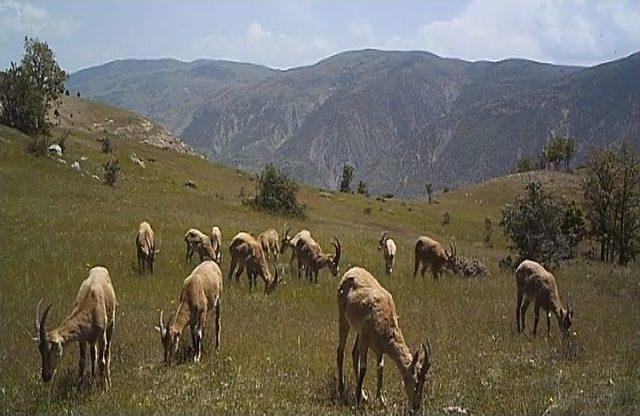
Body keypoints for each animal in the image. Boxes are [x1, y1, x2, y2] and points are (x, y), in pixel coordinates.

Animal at [336, 266, 430, 410]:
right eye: (415, 381)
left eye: (424, 380)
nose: (416, 406)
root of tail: (351, 271)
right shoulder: (365, 340)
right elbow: (363, 368)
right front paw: (358, 401)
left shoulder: (379, 349)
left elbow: (380, 368)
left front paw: (382, 401)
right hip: (344, 319)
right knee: (340, 351)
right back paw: (342, 389)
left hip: (358, 333)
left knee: (354, 353)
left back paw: (363, 394)